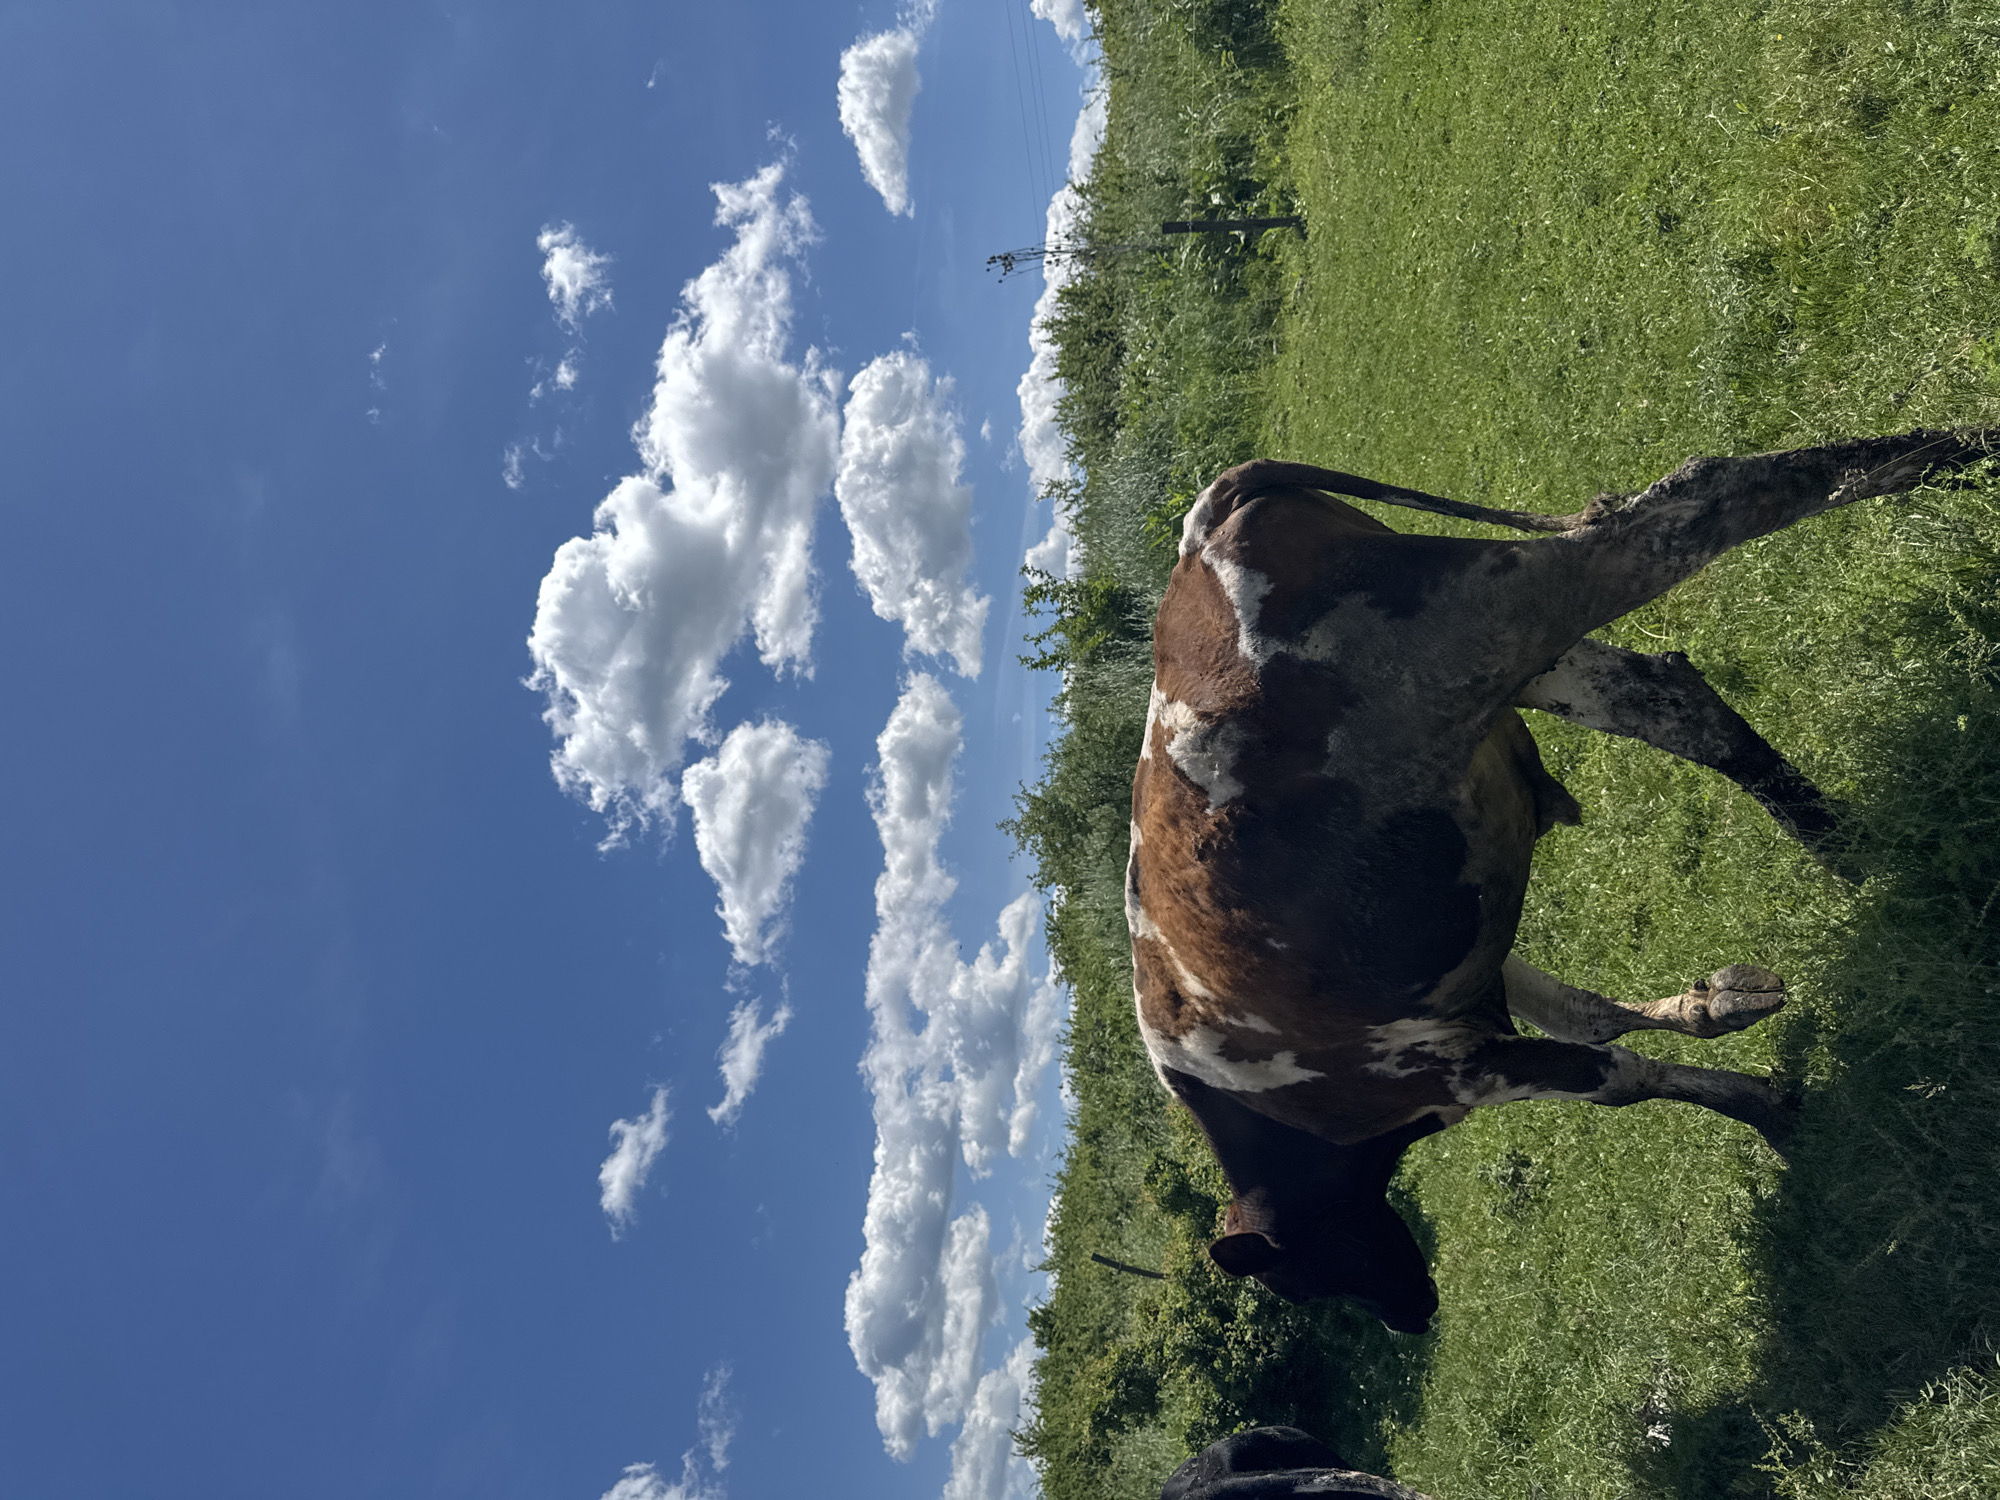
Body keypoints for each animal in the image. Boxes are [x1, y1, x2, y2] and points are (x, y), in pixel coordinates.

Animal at [1125, 430, 1992, 1334]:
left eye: (1306, 1276)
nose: (1413, 1316)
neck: (1275, 1117)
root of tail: (1200, 528)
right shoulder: (1459, 985)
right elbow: (1591, 1017)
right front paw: (1717, 1005)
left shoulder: (1458, 1067)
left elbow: (1612, 1078)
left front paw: (1760, 1104)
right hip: (1515, 664)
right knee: (1672, 698)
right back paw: (1841, 838)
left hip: (1502, 613)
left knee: (1697, 504)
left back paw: (1950, 457)